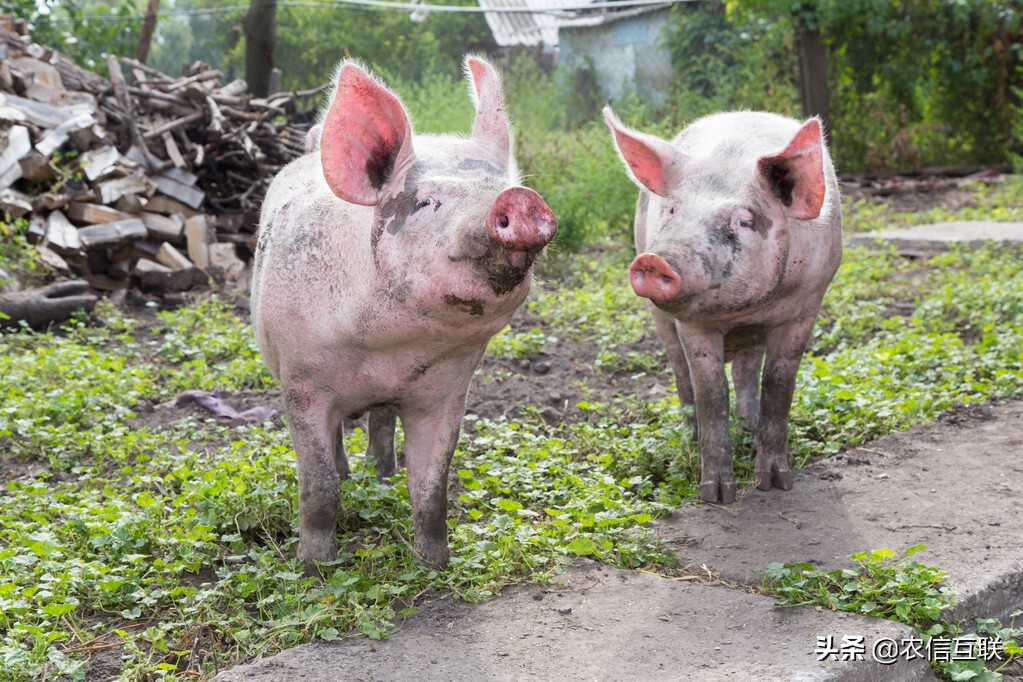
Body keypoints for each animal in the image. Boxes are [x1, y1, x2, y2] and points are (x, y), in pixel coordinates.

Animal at [251, 57, 560, 572]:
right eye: (426, 202)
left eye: (504, 188)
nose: (519, 200)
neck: (390, 350)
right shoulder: (300, 382)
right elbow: (318, 488)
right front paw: (315, 568)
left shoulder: (448, 393)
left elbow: (433, 491)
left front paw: (434, 565)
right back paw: (353, 475)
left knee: (381, 424)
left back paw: (382, 477)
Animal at [601, 106, 842, 505]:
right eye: (672, 209)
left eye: (743, 220)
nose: (654, 261)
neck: (744, 310)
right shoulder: (691, 323)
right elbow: (711, 392)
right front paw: (716, 496)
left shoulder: (807, 306)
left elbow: (778, 387)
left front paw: (775, 484)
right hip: (659, 319)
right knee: (680, 372)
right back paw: (691, 434)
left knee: (747, 368)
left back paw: (748, 427)